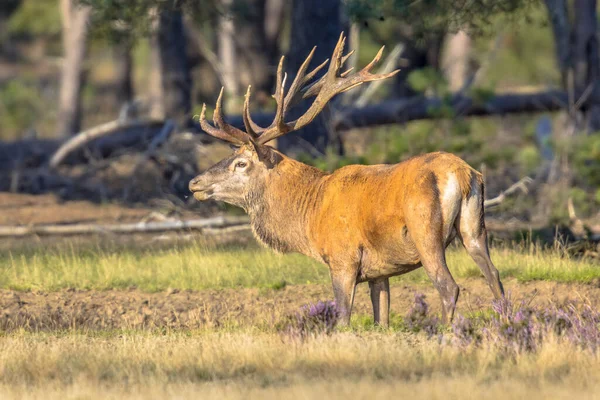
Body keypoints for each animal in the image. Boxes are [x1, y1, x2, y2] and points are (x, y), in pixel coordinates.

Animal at [186, 31, 502, 324]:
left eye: (241, 163)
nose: (194, 183)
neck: (309, 215)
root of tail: (462, 174)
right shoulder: (379, 271)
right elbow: (381, 318)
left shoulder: (343, 259)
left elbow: (342, 318)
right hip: (474, 228)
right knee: (495, 277)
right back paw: (505, 322)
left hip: (425, 232)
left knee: (449, 287)